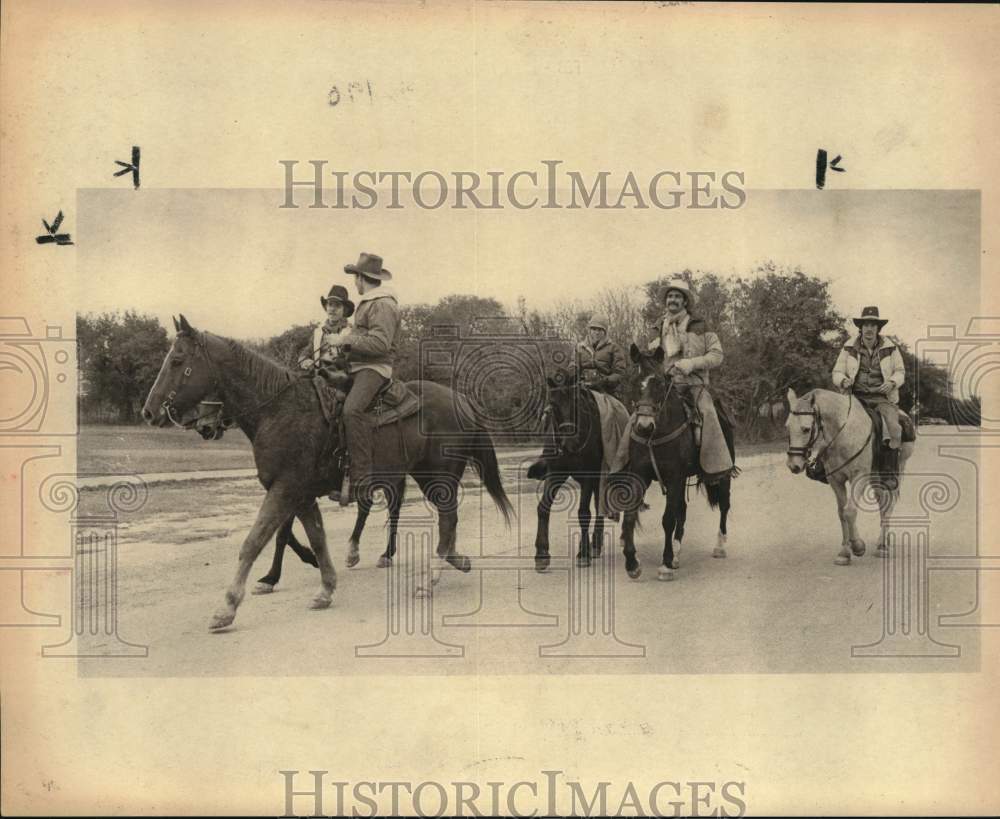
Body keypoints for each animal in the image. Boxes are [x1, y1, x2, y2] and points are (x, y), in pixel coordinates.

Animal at [143, 316, 516, 636]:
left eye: (177, 360)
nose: (149, 412)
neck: (279, 410)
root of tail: (461, 400)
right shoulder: (302, 496)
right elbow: (316, 539)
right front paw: (325, 588)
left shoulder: (284, 490)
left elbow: (253, 542)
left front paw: (226, 608)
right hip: (421, 476)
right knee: (442, 520)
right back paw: (454, 561)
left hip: (436, 478)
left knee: (446, 520)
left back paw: (429, 577)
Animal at [528, 370, 612, 572]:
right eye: (553, 405)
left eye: (575, 403)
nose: (570, 443)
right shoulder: (555, 474)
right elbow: (543, 508)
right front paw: (542, 553)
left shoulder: (589, 476)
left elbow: (583, 513)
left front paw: (583, 554)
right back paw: (594, 544)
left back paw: (593, 545)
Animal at [608, 346, 736, 584]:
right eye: (634, 381)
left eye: (659, 383)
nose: (644, 426)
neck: (656, 434)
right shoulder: (641, 475)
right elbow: (630, 516)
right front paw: (632, 564)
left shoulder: (675, 476)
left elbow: (667, 519)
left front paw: (665, 565)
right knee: (682, 510)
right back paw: (677, 551)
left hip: (721, 474)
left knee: (724, 505)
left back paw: (719, 546)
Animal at [784, 388, 916, 568]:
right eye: (787, 427)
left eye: (806, 429)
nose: (794, 465)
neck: (843, 433)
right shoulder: (836, 480)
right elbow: (842, 512)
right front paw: (844, 553)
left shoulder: (858, 477)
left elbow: (850, 511)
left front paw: (858, 546)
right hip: (875, 477)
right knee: (882, 502)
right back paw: (883, 542)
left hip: (896, 470)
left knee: (890, 503)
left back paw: (882, 546)